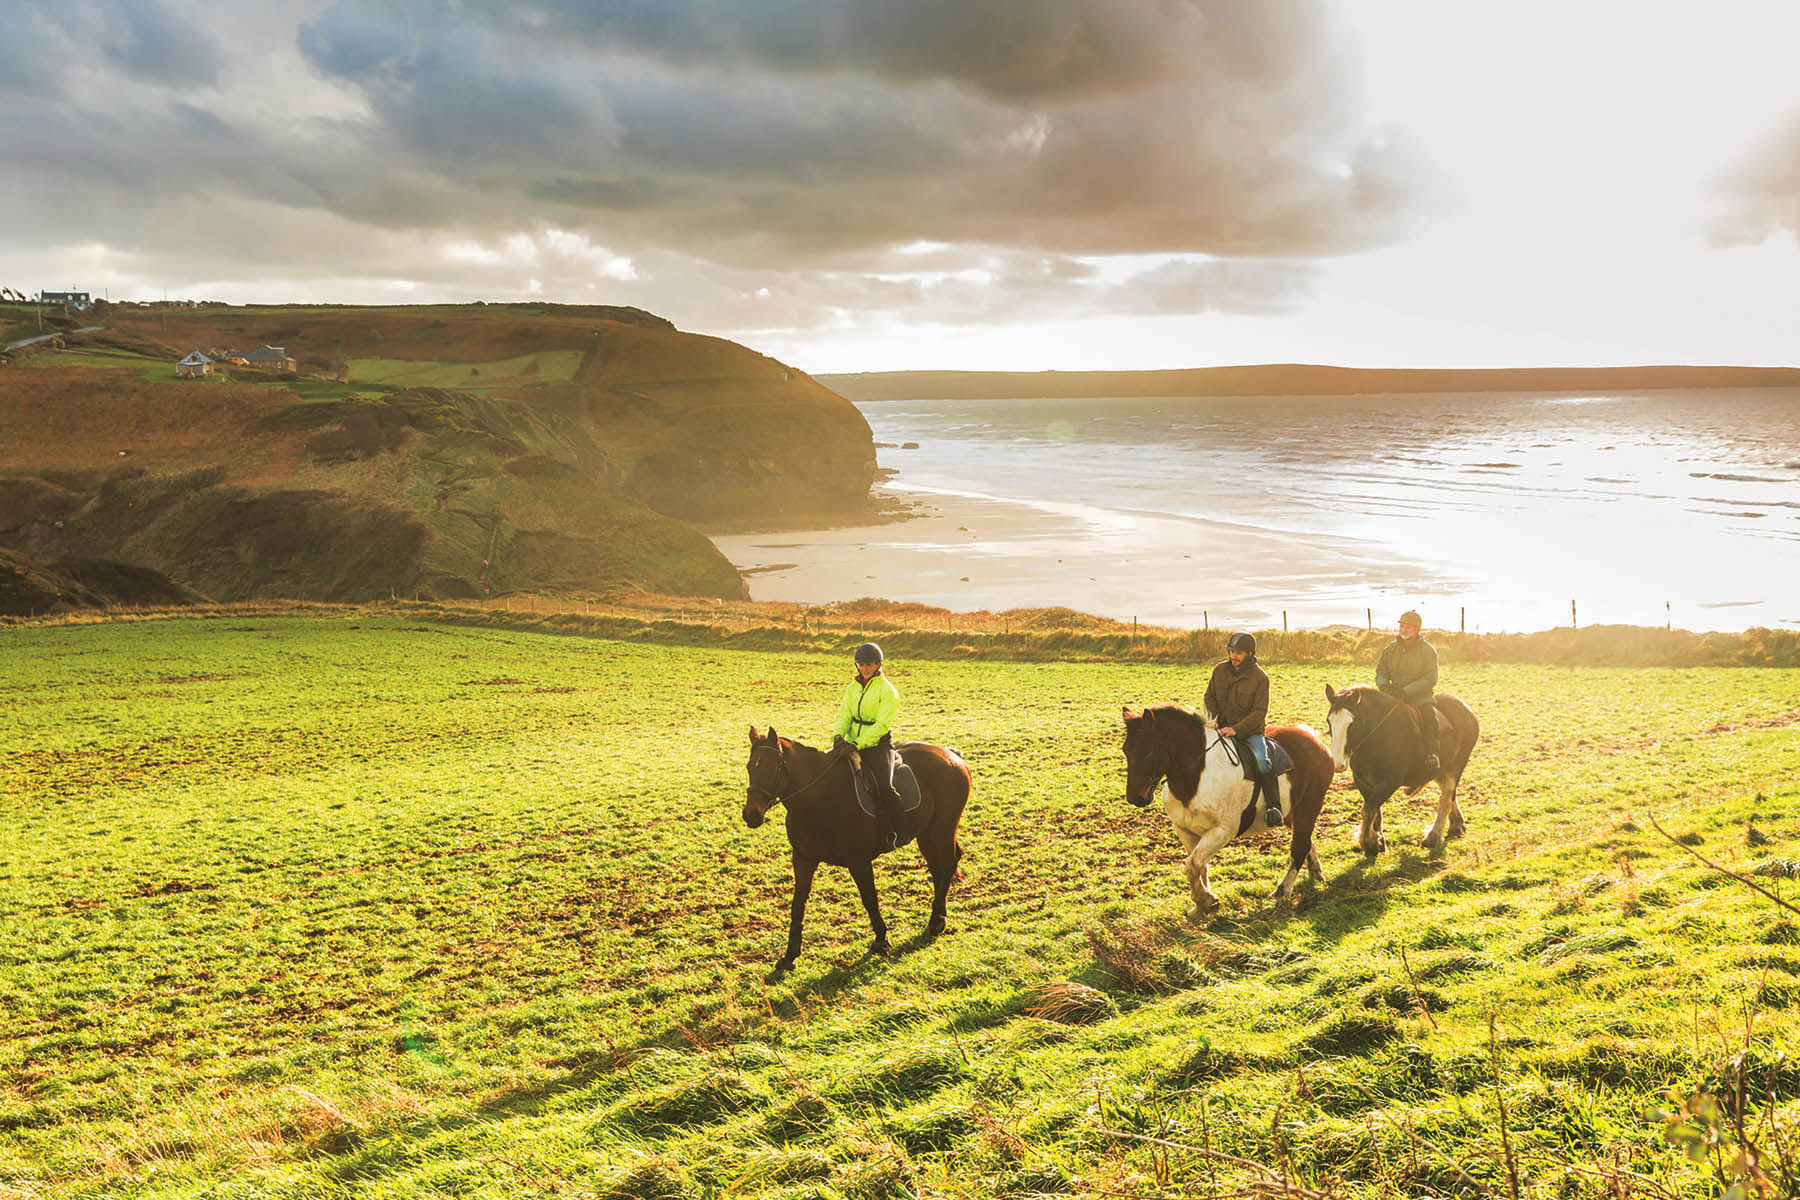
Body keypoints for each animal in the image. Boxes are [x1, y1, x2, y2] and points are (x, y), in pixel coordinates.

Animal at [741, 734, 979, 978]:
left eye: (774, 767)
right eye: (750, 766)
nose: (751, 814)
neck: (818, 797)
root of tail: (951, 755)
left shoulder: (858, 861)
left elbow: (870, 900)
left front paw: (881, 940)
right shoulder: (803, 859)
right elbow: (798, 905)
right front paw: (789, 955)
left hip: (942, 828)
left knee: (947, 864)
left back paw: (935, 921)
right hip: (927, 833)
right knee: (939, 869)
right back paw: (939, 916)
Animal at [1123, 705, 1339, 921]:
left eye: (1148, 752)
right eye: (1125, 750)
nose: (1135, 798)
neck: (1197, 777)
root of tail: (1314, 740)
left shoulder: (1222, 831)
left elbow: (1193, 864)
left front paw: (1206, 900)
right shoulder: (1185, 830)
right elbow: (1199, 867)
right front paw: (1201, 907)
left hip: (1307, 809)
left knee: (1299, 847)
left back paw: (1282, 892)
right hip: (1291, 814)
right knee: (1307, 841)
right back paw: (1315, 871)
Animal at [1324, 683, 1476, 863]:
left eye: (1353, 722)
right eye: (1329, 721)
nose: (1338, 764)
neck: (1377, 736)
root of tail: (1466, 709)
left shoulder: (1390, 781)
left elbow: (1369, 810)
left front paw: (1369, 843)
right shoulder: (1362, 781)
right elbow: (1374, 810)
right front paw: (1378, 842)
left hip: (1456, 766)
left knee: (1446, 797)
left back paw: (1433, 836)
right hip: (1440, 770)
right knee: (1450, 794)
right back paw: (1456, 825)